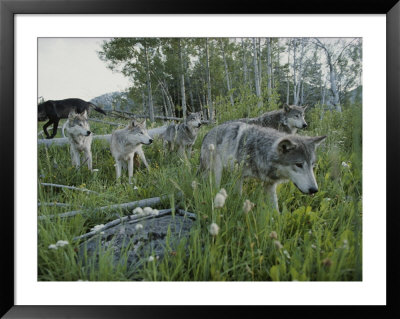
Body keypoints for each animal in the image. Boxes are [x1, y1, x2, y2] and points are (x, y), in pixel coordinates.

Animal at [198, 122, 326, 212]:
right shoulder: (238, 177)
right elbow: (238, 196)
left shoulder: (270, 185)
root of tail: (207, 133)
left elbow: (275, 211)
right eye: (299, 164)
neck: (260, 151)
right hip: (216, 172)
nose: (314, 190)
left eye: (312, 165)